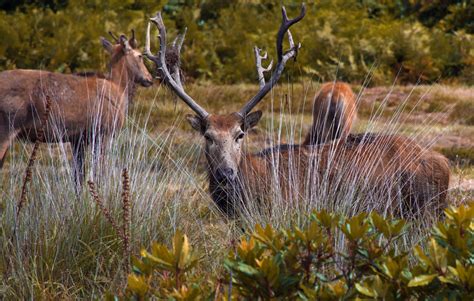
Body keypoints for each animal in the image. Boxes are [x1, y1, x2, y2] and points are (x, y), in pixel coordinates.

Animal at [0, 30, 152, 186]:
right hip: (6, 129)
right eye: (140, 56)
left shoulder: (77, 139)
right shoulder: (104, 132)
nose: (149, 78)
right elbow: (99, 173)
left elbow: (78, 177)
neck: (120, 89)